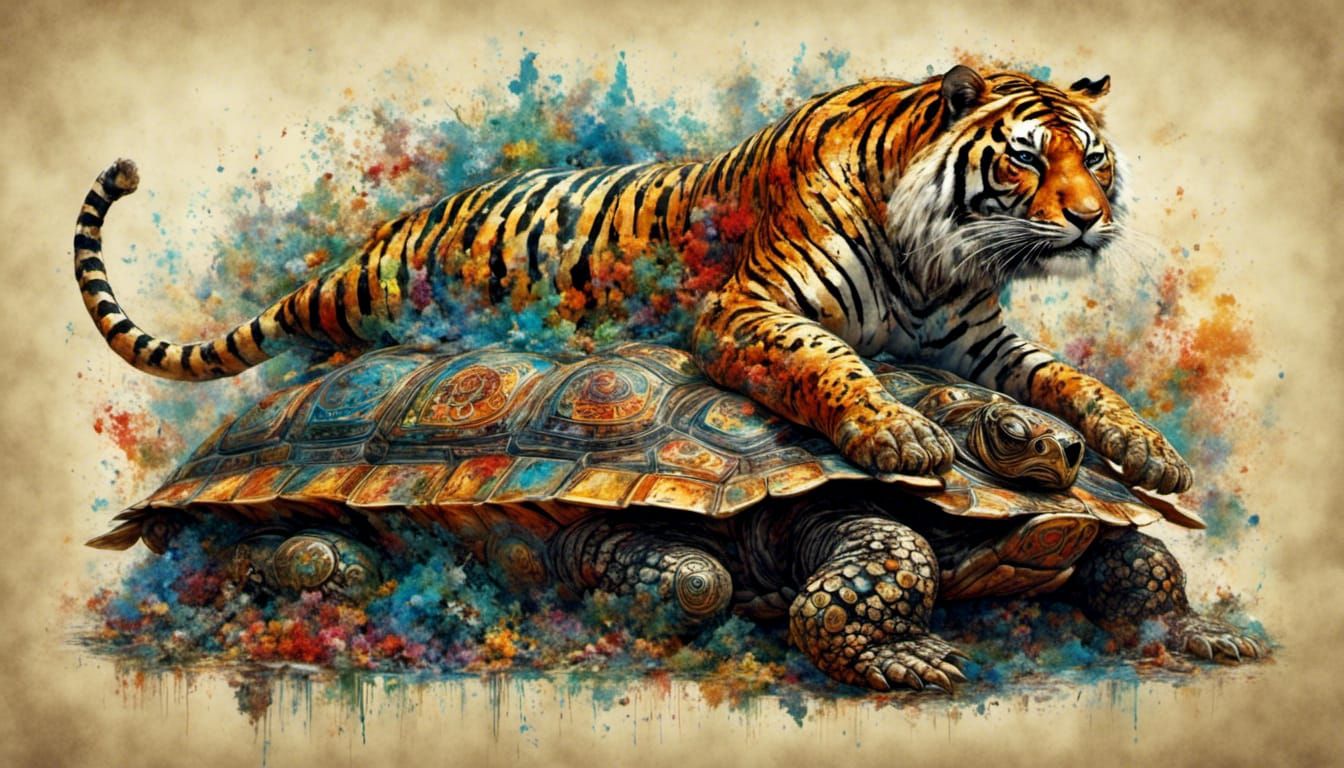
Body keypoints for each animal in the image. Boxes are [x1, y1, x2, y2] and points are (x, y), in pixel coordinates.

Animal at [72, 64, 1191, 494]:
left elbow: (1073, 381)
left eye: (1095, 159)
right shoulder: (751, 309)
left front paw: (1150, 451)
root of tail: (362, 245)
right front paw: (900, 432)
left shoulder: (979, 340)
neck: (939, 254)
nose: (1090, 218)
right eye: (1028, 160)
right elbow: (834, 364)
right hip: (372, 298)